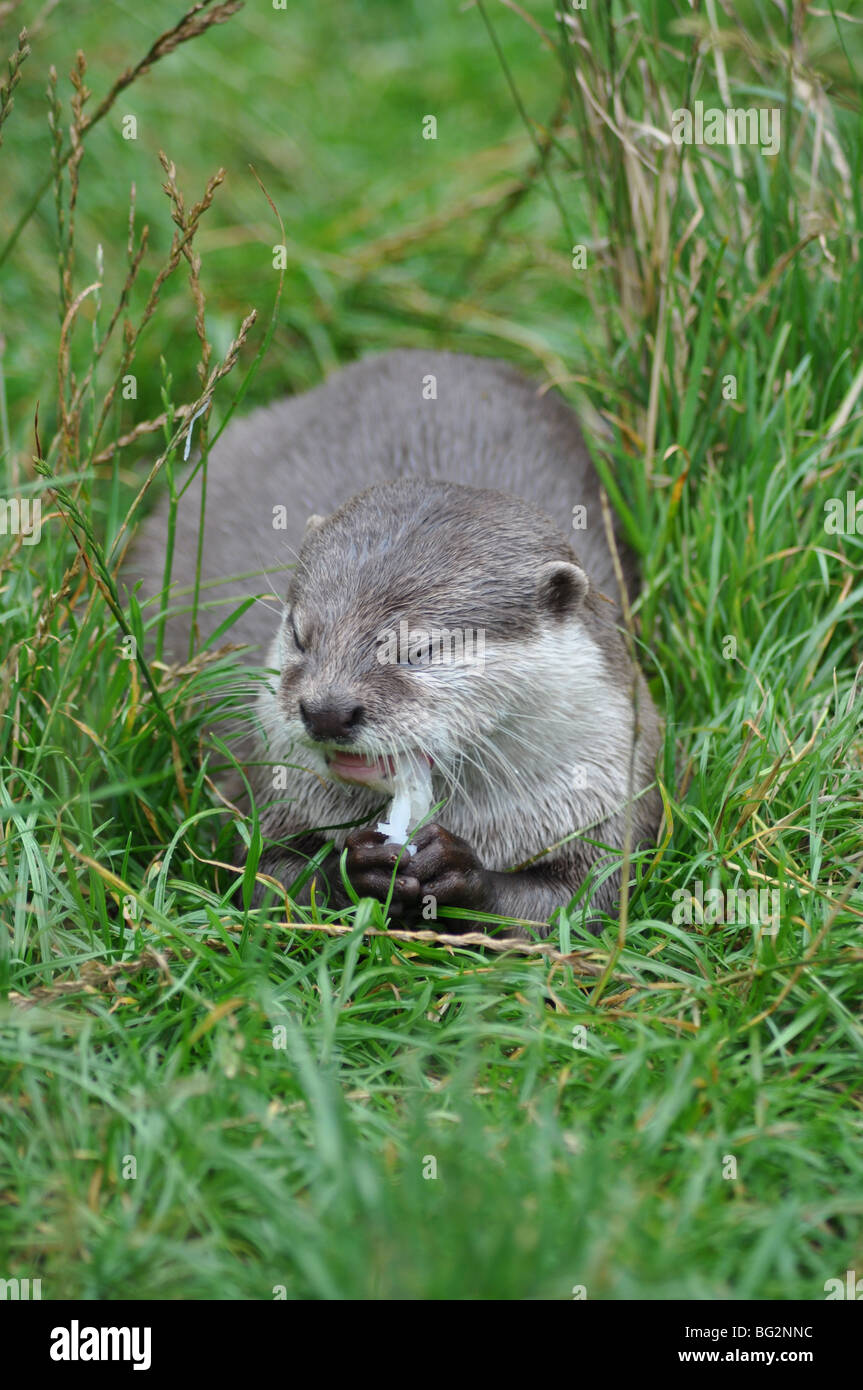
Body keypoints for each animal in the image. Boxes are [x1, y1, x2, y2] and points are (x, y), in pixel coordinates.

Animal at [127, 347, 658, 934]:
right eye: (300, 635)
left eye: (418, 651)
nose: (326, 711)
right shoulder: (271, 788)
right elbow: (265, 878)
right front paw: (359, 866)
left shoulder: (609, 789)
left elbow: (576, 904)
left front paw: (456, 868)